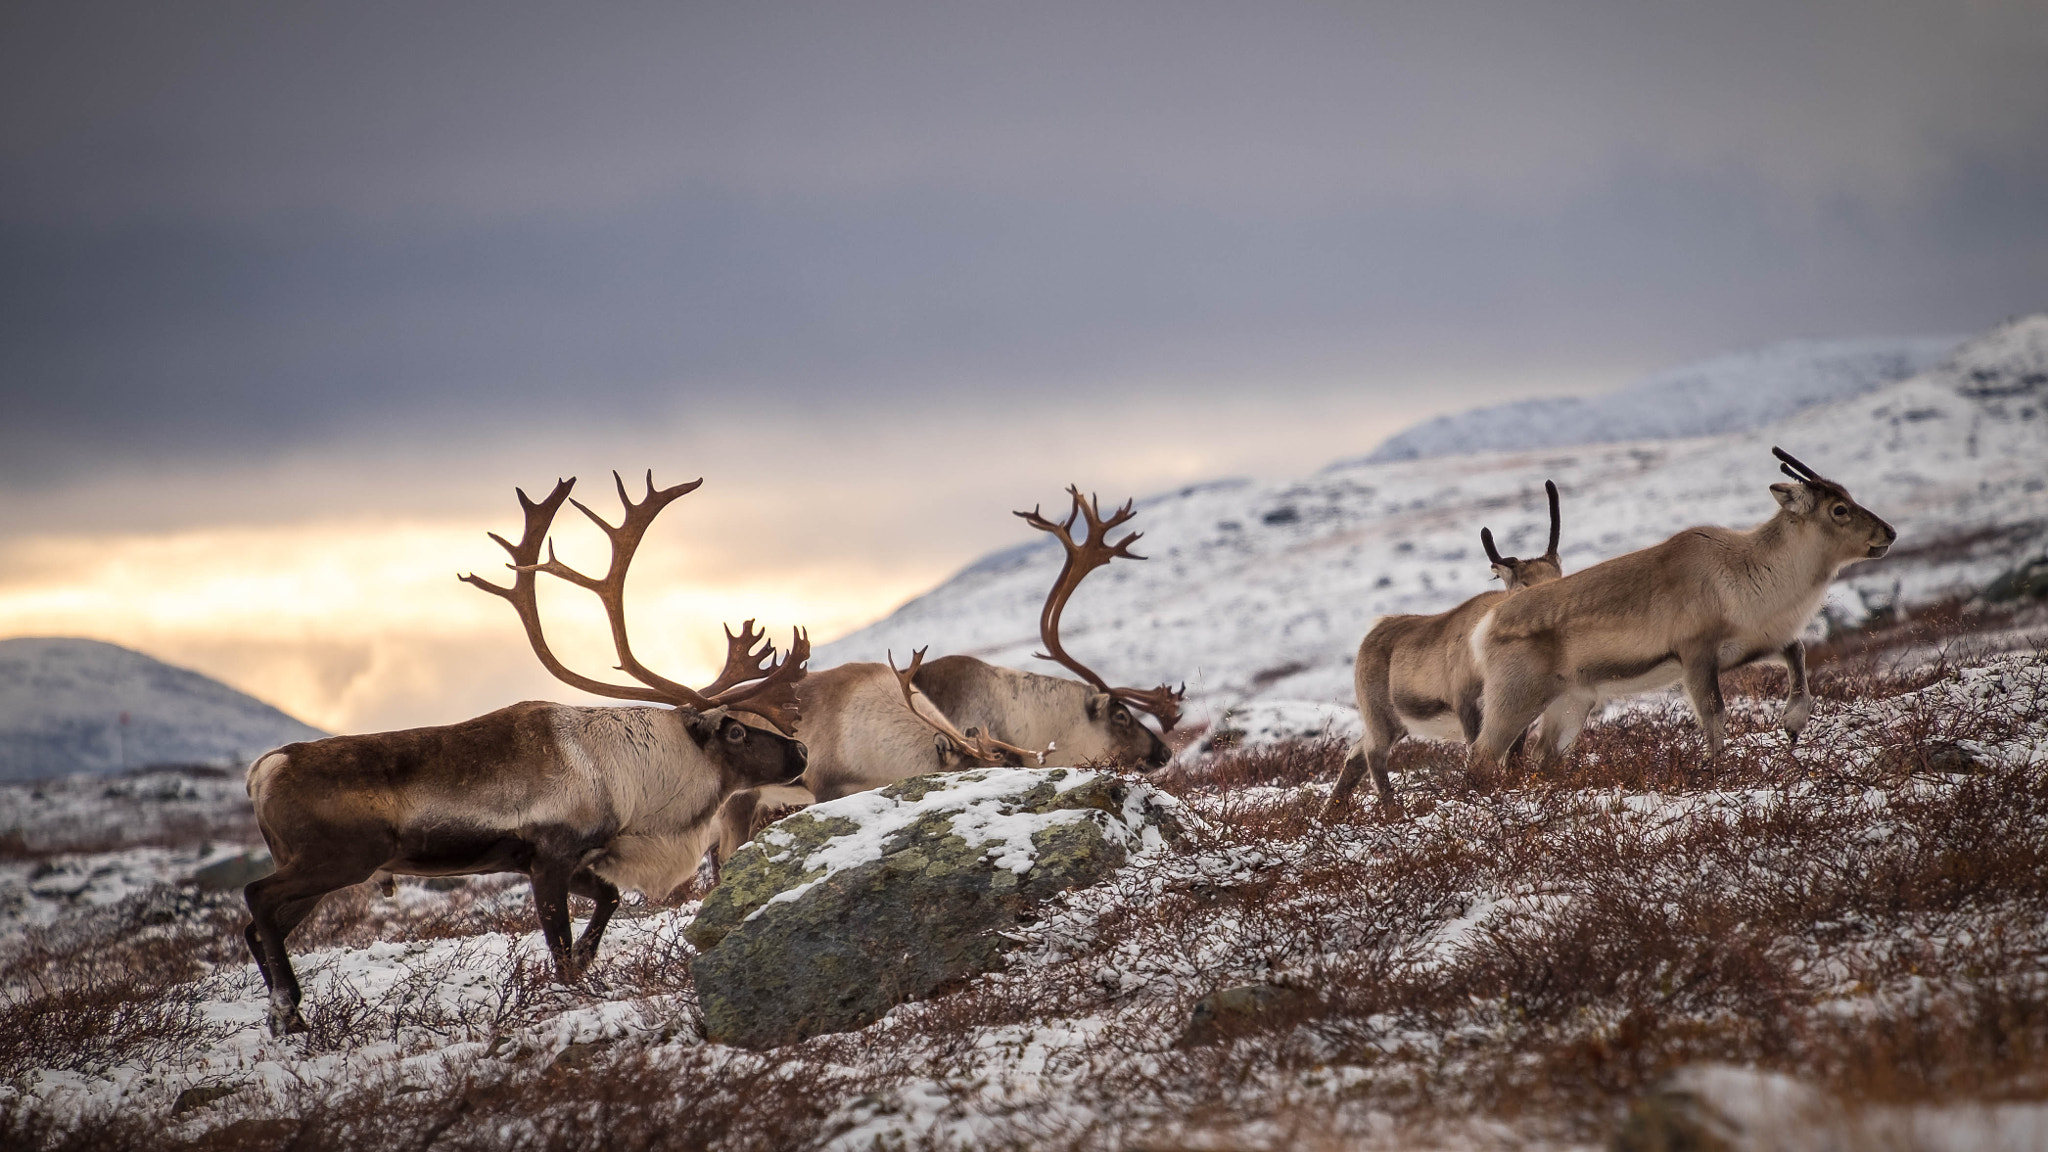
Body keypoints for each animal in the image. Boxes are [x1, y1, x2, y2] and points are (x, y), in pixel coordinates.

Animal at [242, 473, 809, 1035]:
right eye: (734, 732)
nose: (801, 750)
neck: (629, 781)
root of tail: (263, 770)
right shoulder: (549, 857)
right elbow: (559, 944)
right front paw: (569, 985)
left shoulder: (568, 858)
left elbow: (608, 900)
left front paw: (586, 961)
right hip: (337, 859)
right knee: (256, 897)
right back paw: (287, 1008)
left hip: (317, 870)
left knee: (256, 927)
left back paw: (287, 1018)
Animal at [1321, 481, 1565, 819]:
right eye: (1525, 584)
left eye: (1560, 576)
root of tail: (1373, 632)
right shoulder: (1466, 703)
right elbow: (1479, 753)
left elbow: (1514, 756)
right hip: (1380, 713)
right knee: (1372, 753)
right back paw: (1392, 810)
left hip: (1394, 722)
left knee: (1355, 751)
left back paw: (1328, 815)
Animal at [1466, 447, 1895, 772]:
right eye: (1839, 509)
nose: (1889, 533)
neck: (1749, 569)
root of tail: (1484, 627)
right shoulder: (1695, 655)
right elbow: (1714, 714)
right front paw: (1718, 767)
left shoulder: (1752, 644)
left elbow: (1798, 651)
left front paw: (1793, 722)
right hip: (1515, 698)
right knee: (1481, 757)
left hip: (1571, 701)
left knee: (1542, 755)